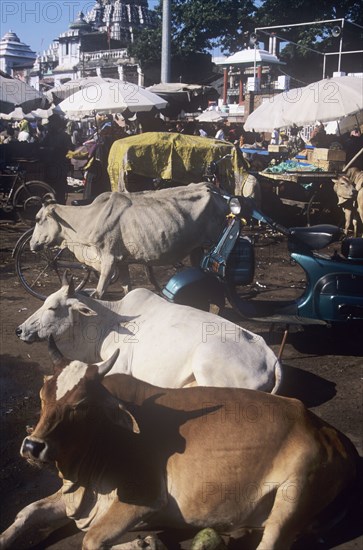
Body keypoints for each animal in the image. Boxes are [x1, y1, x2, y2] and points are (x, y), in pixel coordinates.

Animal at [0, 340, 358, 550]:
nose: (33, 447)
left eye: (81, 404)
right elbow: (27, 512)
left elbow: (91, 540)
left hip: (294, 493)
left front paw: (140, 544)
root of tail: (331, 432)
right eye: (43, 397)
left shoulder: (144, 500)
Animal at [16, 278, 284, 394]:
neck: (109, 321)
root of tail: (271, 357)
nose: (20, 330)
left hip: (207, 366)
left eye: (53, 307)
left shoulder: (118, 365)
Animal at [29, 183, 229, 300]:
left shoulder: (108, 258)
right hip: (198, 249)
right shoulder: (122, 261)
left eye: (38, 219)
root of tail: (213, 189)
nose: (31, 244)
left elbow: (99, 293)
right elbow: (127, 290)